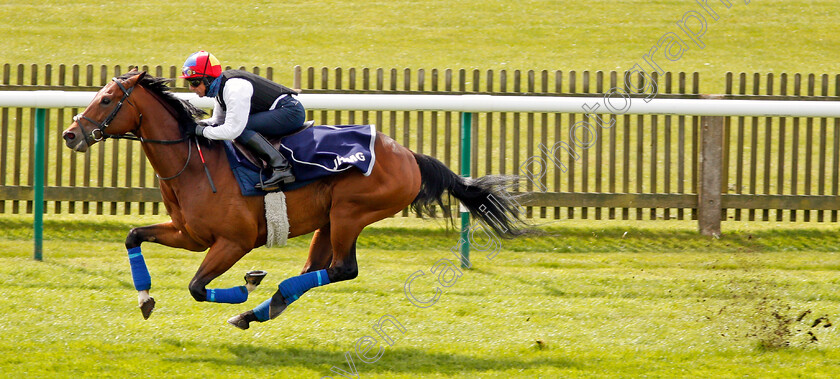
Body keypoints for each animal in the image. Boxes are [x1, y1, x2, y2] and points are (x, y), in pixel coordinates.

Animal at [62, 70, 524, 330]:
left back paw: (259, 301)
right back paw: (261, 309)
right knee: (316, 269)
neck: (192, 163)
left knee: (342, 269)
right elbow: (133, 235)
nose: (70, 134)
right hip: (330, 220)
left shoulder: (233, 242)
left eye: (106, 99)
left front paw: (245, 285)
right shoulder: (188, 234)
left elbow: (195, 287)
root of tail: (409, 154)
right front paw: (145, 299)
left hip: (351, 213)